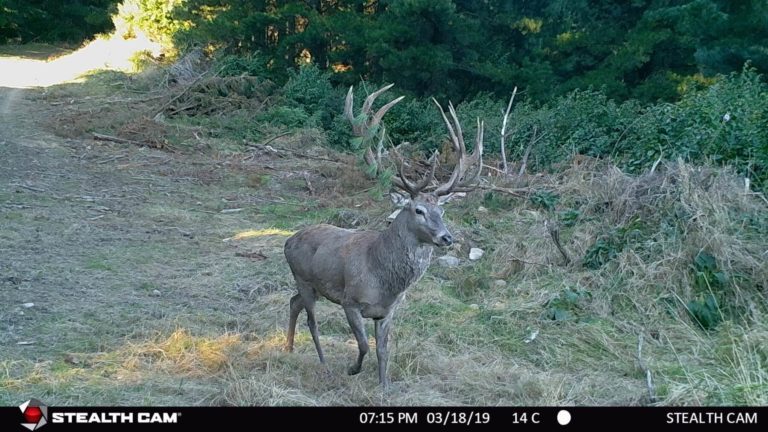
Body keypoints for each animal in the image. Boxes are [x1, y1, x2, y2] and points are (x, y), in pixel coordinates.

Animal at [283, 84, 484, 390]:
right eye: (418, 210)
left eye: (442, 210)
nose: (446, 237)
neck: (382, 280)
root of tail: (288, 240)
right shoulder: (350, 301)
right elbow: (364, 344)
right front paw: (353, 369)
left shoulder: (388, 311)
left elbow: (383, 350)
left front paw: (384, 386)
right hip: (303, 277)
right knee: (311, 320)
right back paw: (322, 361)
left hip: (313, 286)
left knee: (293, 303)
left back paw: (289, 347)